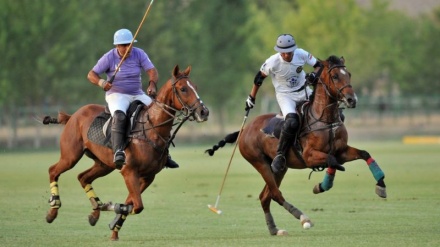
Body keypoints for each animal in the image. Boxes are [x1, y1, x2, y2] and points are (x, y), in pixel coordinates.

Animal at [42, 64, 209, 240]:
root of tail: (73, 115)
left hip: (104, 165)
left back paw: (95, 212)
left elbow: (131, 203)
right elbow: (136, 205)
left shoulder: (148, 176)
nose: (204, 112)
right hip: (70, 156)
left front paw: (114, 228)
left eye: (195, 87)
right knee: (53, 171)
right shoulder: (129, 171)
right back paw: (53, 210)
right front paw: (109, 208)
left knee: (83, 177)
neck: (151, 129)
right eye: (183, 89)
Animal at [205, 56, 384, 235]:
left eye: (349, 74)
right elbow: (333, 161)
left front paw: (381, 186)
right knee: (275, 194)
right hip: (260, 162)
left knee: (265, 196)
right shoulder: (309, 156)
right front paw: (322, 186)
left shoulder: (342, 151)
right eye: (335, 76)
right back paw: (303, 218)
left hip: (280, 168)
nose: (352, 100)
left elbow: (363, 154)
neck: (324, 119)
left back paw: (274, 229)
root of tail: (244, 130)